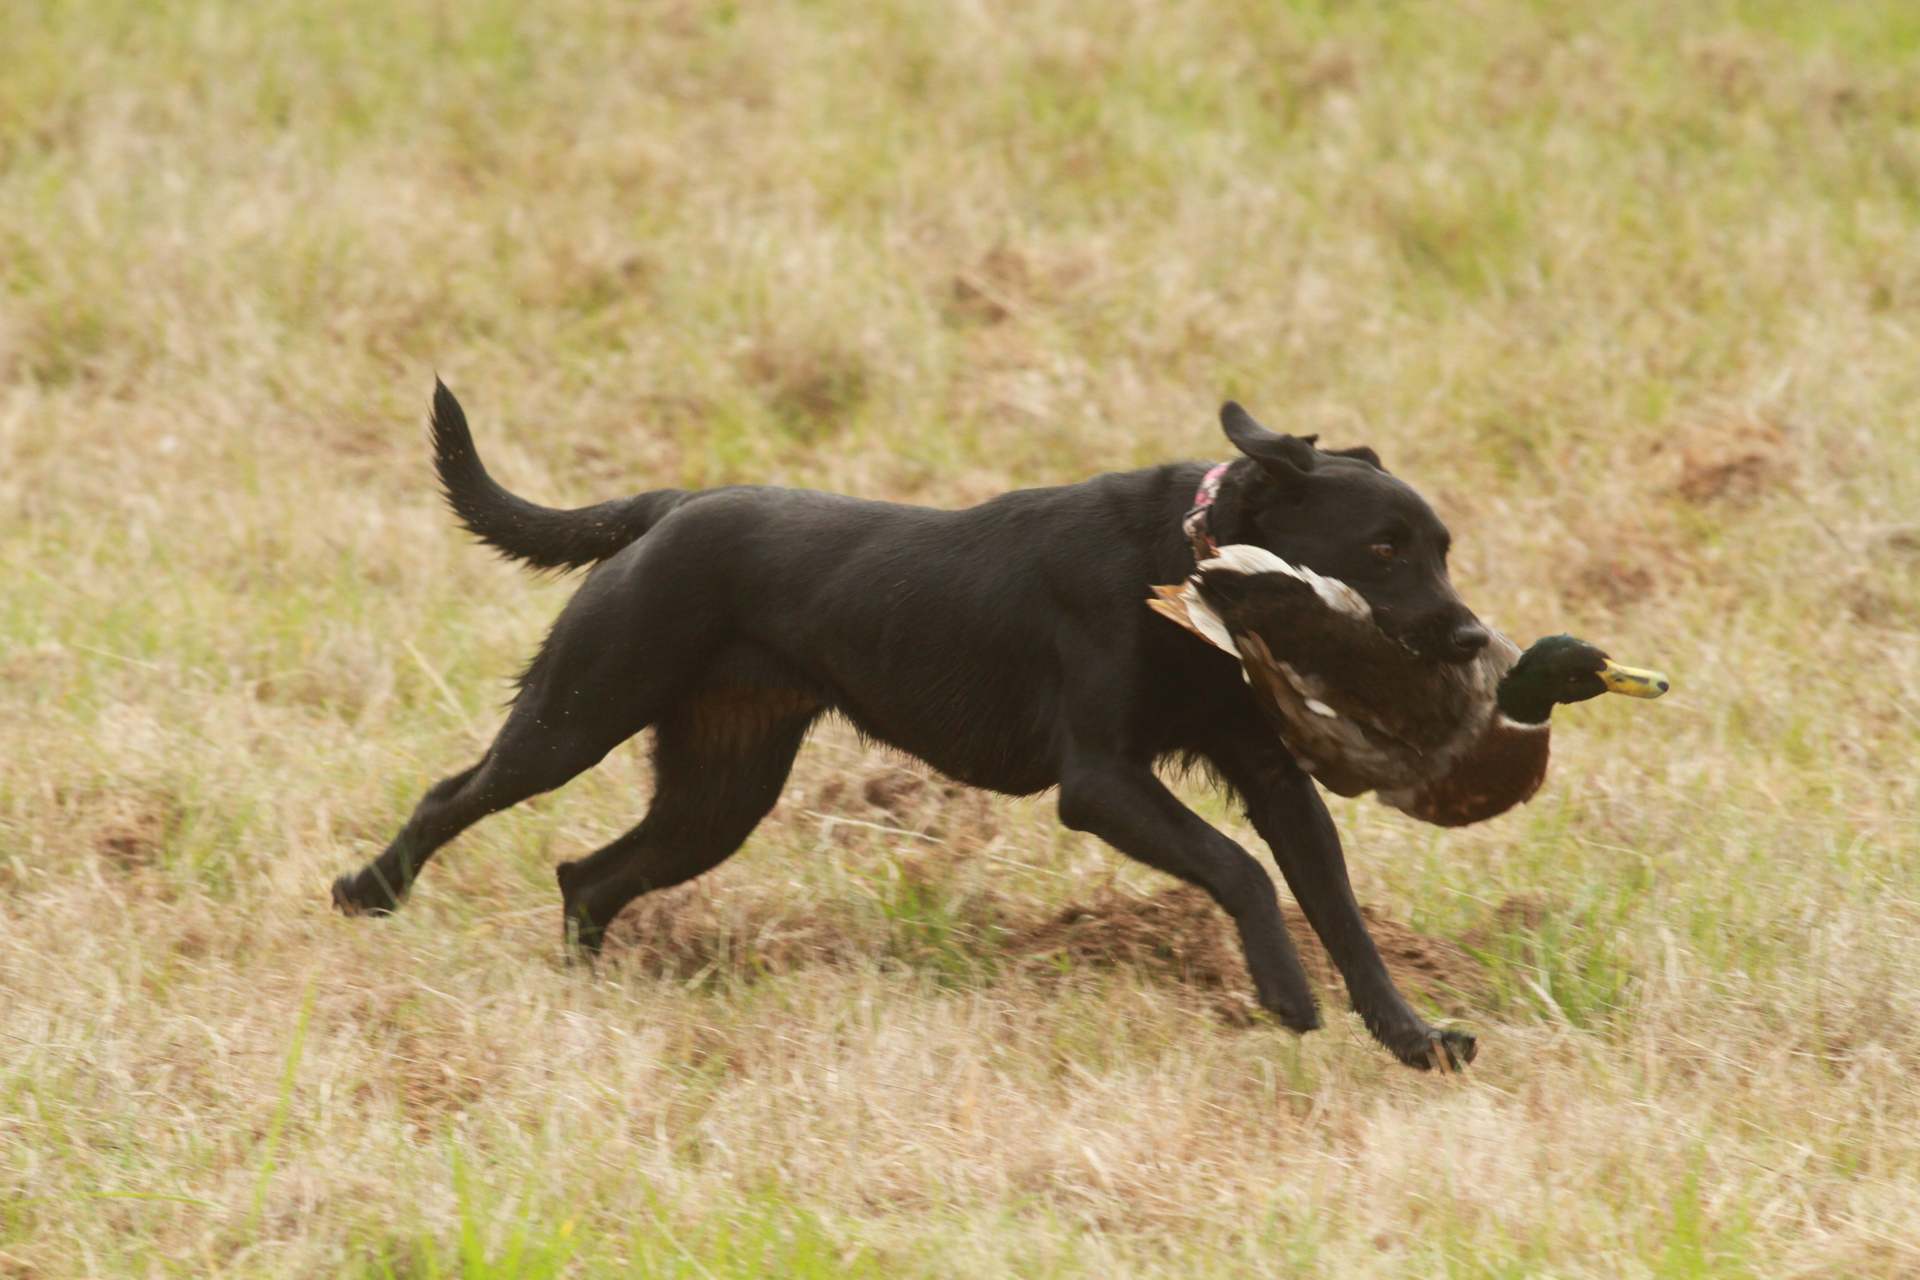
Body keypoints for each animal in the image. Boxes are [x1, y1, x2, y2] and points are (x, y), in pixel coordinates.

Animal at [337, 387, 1489, 1074]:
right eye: (1383, 548)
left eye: (1441, 546)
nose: (1475, 637)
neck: (1188, 560)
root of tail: (674, 505)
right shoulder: (1102, 781)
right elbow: (1243, 872)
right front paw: (1285, 993)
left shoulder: (1270, 775)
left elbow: (1340, 913)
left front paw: (1413, 1038)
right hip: (577, 713)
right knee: (455, 795)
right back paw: (369, 891)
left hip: (718, 792)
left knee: (589, 876)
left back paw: (586, 998)